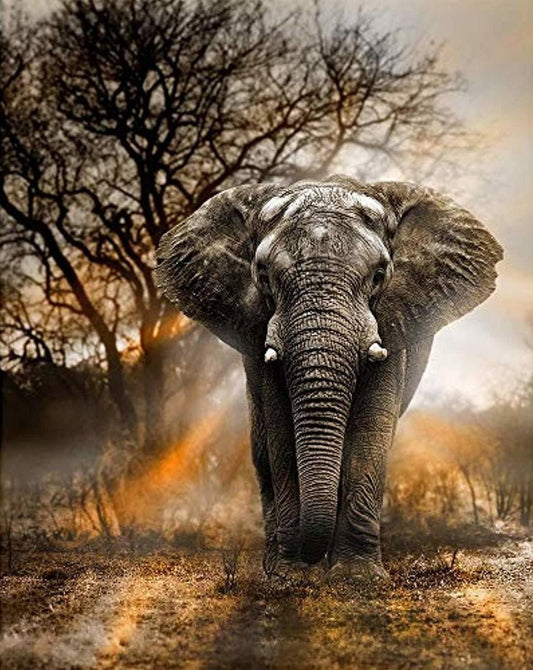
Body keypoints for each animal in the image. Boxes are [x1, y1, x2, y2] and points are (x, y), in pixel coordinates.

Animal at [155, 175, 502, 578]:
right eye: (263, 276)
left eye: (379, 275)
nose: (309, 559)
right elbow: (281, 433)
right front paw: (290, 577)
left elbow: (369, 431)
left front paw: (357, 578)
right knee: (262, 452)